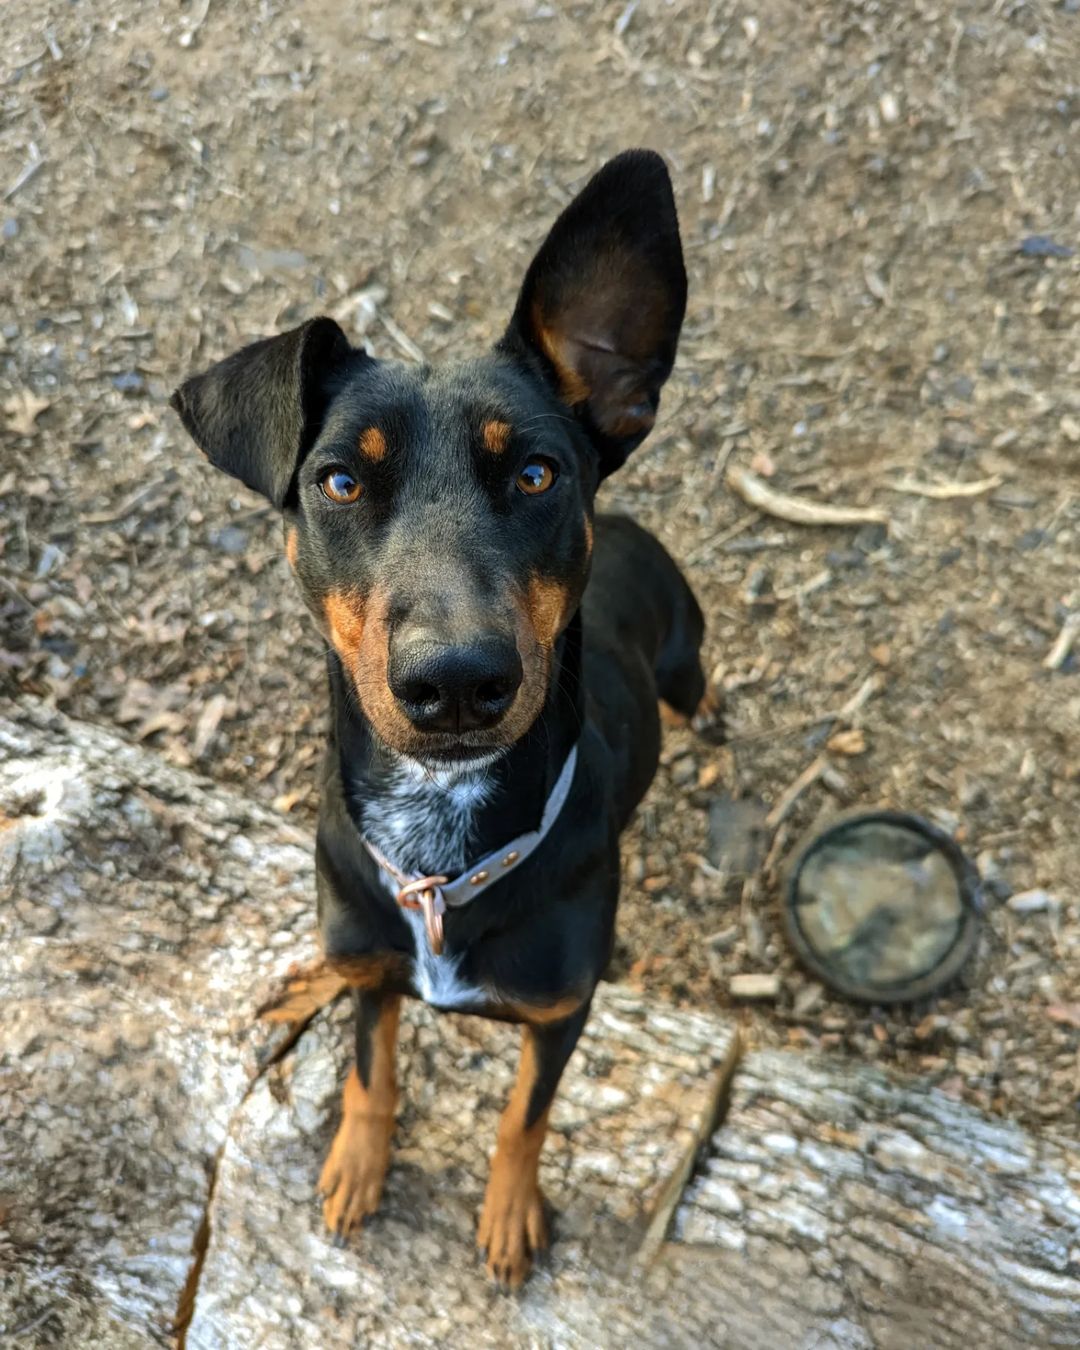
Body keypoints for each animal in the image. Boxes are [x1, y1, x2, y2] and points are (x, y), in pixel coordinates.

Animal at [170, 147, 707, 1285]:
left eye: (538, 472)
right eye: (338, 481)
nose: (456, 683)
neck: (439, 845)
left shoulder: (561, 1012)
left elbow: (524, 1116)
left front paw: (508, 1216)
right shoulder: (376, 967)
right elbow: (372, 1072)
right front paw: (355, 1168)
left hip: (685, 660)